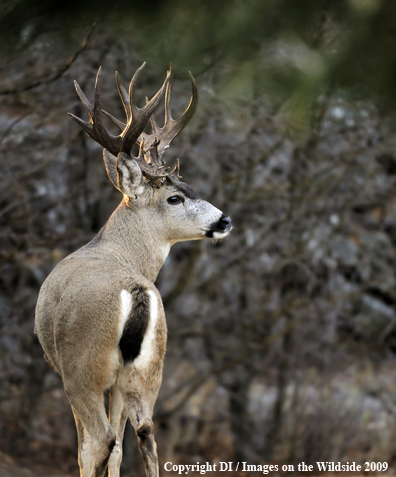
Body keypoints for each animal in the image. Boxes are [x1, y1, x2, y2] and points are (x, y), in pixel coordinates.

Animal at [34, 63, 232, 476]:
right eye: (175, 196)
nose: (225, 220)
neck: (116, 250)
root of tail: (137, 291)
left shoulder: (68, 369)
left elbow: (90, 448)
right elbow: (123, 449)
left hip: (83, 368)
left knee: (99, 440)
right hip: (147, 369)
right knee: (145, 434)